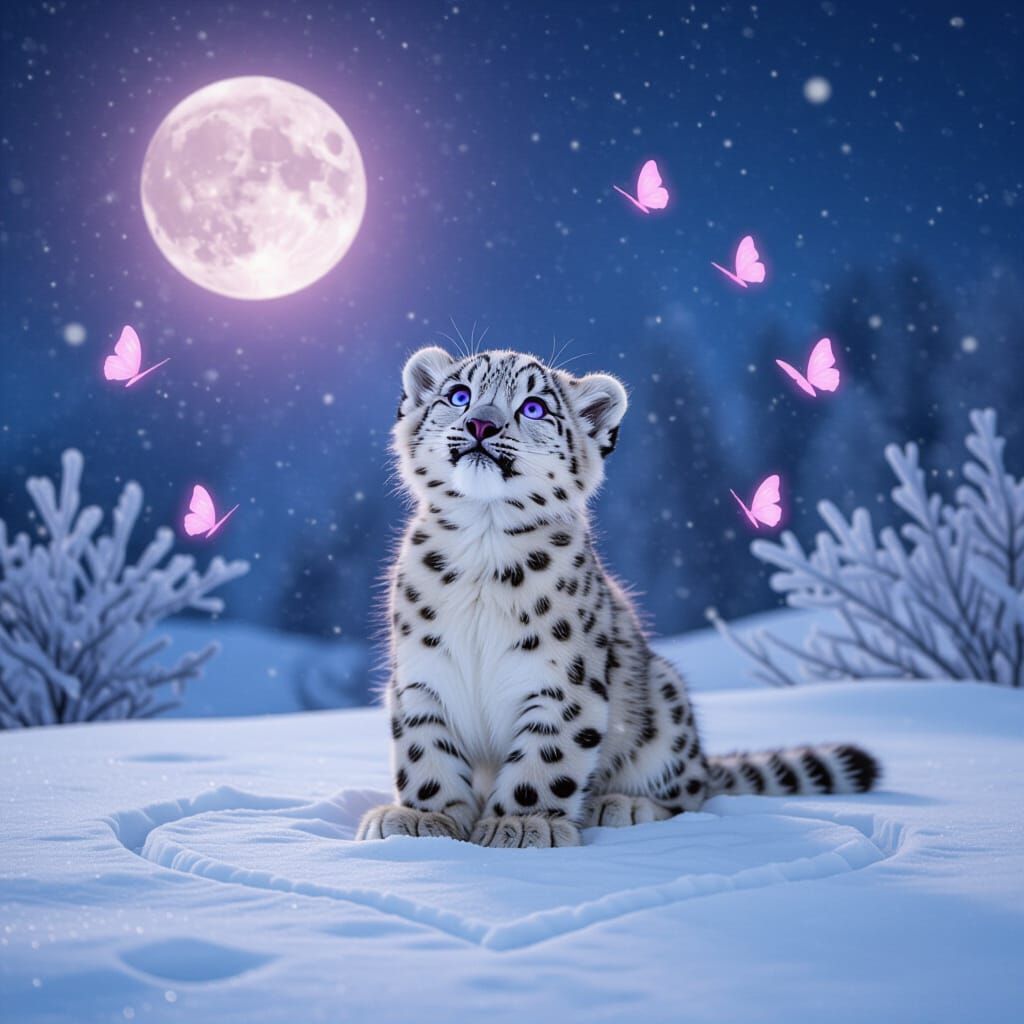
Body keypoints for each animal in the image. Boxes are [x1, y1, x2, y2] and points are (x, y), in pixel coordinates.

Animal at [356, 346, 879, 848]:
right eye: (459, 394)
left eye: (534, 406)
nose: (481, 424)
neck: (483, 543)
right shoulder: (422, 676)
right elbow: (427, 753)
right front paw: (423, 819)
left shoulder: (563, 683)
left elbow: (546, 758)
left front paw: (524, 824)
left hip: (665, 702)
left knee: (691, 793)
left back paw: (624, 805)